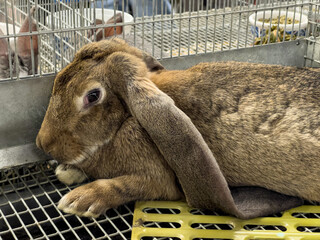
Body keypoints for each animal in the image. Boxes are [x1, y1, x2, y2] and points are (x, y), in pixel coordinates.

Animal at [36, 38, 318, 219]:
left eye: (92, 96)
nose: (43, 143)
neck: (126, 119)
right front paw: (67, 171)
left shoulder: (157, 179)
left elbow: (127, 186)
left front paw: (80, 200)